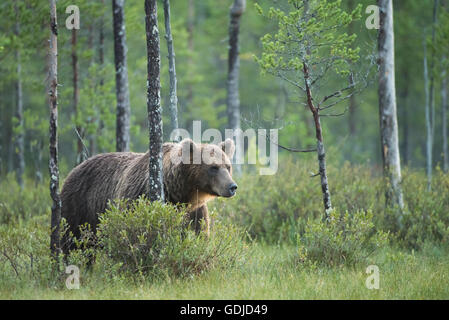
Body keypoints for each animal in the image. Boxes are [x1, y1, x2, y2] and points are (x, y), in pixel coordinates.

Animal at [61, 138, 240, 252]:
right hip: (79, 206)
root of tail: (74, 169)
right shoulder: (139, 199)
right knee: (72, 242)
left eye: (228, 166)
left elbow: (199, 232)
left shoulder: (195, 211)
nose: (232, 186)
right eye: (213, 167)